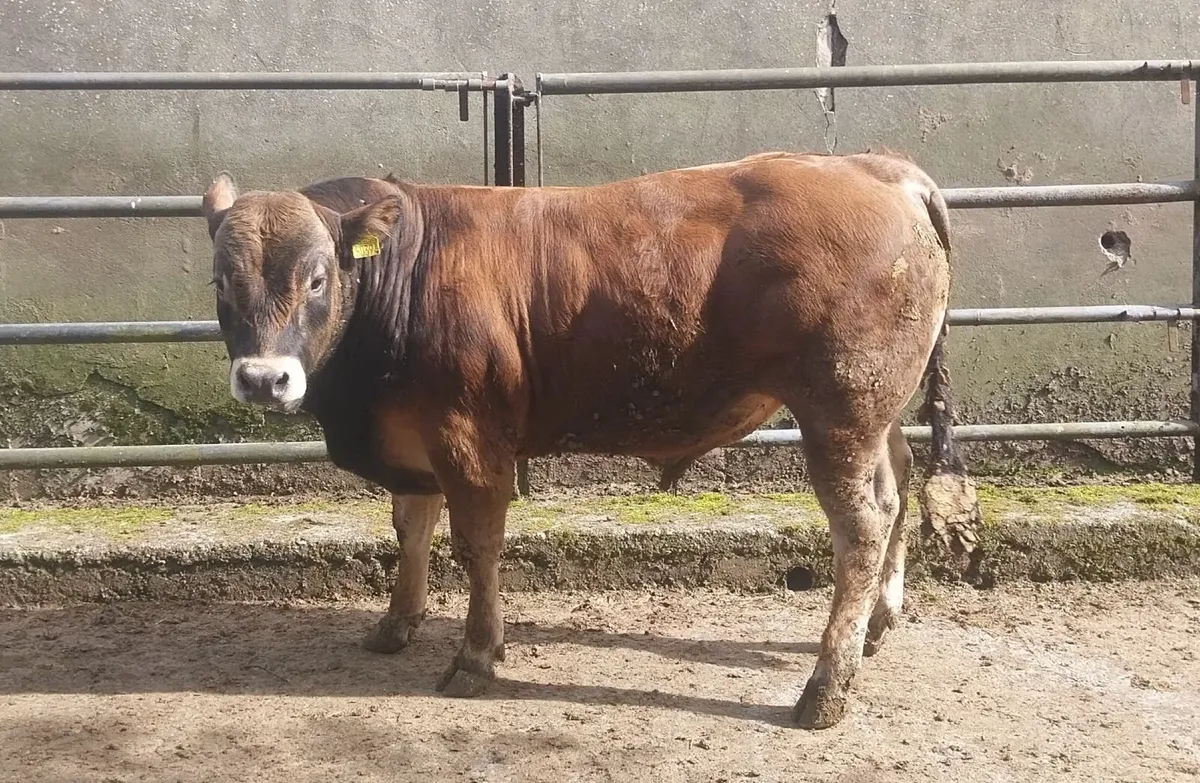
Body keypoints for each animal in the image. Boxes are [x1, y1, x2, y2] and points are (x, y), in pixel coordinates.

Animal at [200, 151, 981, 729]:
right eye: (220, 282)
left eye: (317, 277)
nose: (264, 378)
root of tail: (879, 168)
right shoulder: (414, 437)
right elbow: (411, 527)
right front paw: (398, 622)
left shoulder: (468, 439)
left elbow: (475, 544)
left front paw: (476, 656)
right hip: (874, 412)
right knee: (898, 483)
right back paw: (878, 624)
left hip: (838, 412)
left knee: (862, 528)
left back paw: (825, 687)